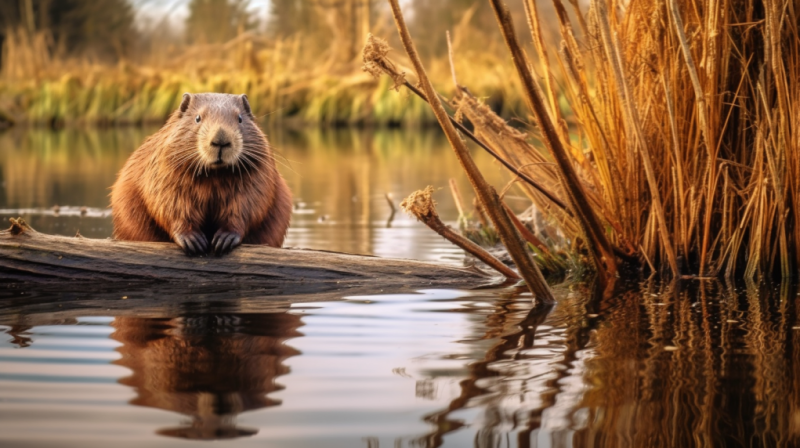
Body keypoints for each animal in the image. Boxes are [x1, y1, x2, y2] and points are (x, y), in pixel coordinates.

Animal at [109, 92, 290, 254]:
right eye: (197, 118)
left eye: (239, 118)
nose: (221, 141)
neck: (214, 175)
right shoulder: (162, 171)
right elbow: (168, 203)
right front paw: (193, 240)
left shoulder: (259, 173)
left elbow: (248, 203)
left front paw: (224, 239)